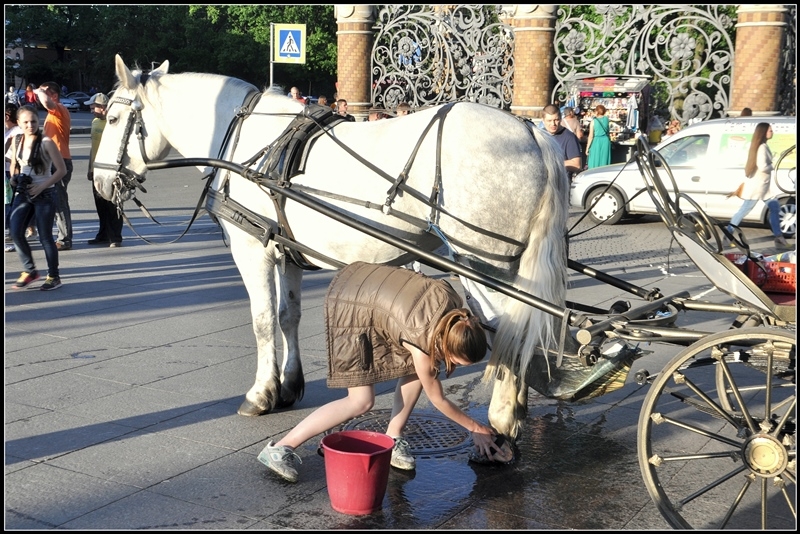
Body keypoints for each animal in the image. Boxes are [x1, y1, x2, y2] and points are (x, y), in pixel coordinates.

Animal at [92, 54, 568, 442]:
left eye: (113, 119)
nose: (97, 181)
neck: (242, 141)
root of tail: (531, 131)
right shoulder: (286, 249)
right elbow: (288, 316)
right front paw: (289, 386)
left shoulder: (251, 248)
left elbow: (262, 320)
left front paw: (261, 394)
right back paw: (516, 407)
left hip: (482, 262)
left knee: (509, 324)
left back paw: (503, 416)